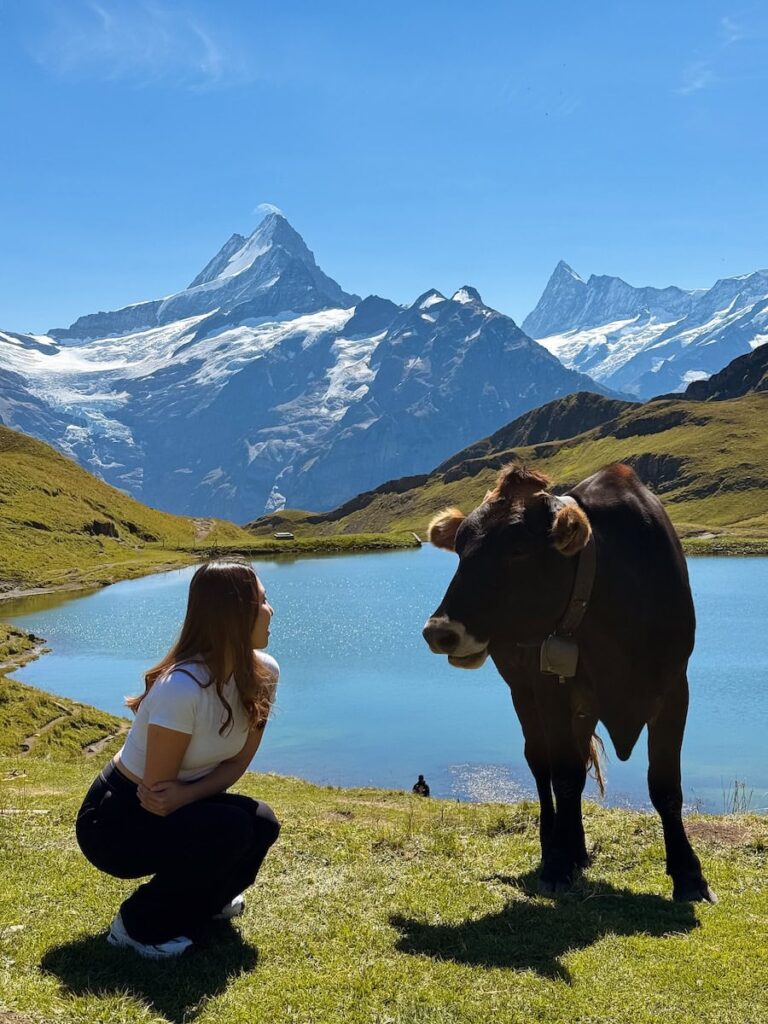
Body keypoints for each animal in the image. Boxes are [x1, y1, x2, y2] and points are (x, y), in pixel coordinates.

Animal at [422, 461, 716, 903]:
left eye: (518, 550)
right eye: (460, 549)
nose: (439, 632)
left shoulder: (674, 688)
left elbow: (665, 785)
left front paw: (688, 874)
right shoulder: (551, 689)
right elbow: (562, 774)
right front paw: (557, 866)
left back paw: (576, 848)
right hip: (523, 691)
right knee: (542, 764)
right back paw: (556, 847)